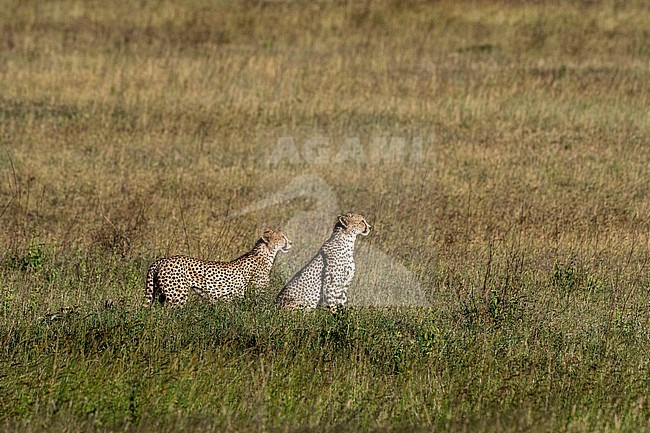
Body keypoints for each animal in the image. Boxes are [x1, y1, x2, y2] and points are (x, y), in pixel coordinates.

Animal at [147, 230, 292, 308]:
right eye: (282, 237)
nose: (291, 242)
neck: (265, 254)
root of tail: (163, 259)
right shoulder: (256, 295)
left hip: (161, 294)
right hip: (177, 296)